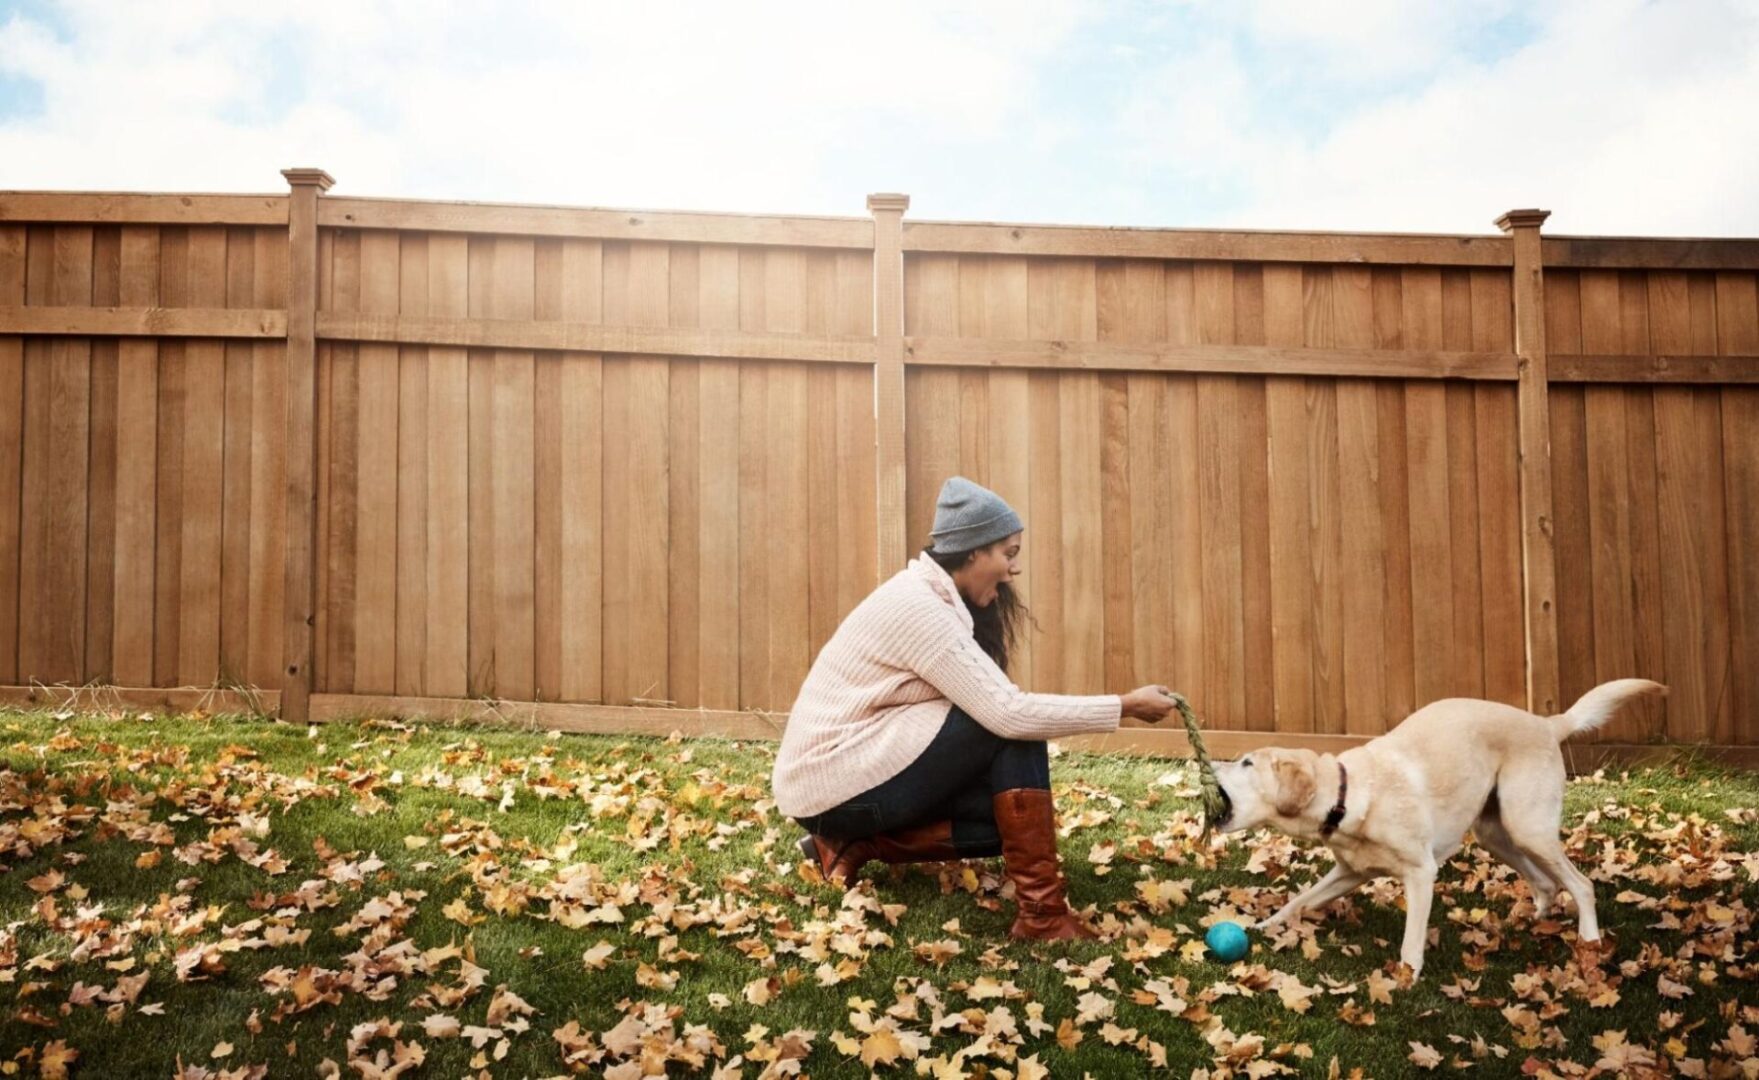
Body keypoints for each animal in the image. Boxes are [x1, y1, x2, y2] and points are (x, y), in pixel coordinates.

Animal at [1210, 685, 1660, 985]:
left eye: (1247, 763)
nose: (1211, 763)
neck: (1346, 793)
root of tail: (1547, 723)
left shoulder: (1421, 873)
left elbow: (1411, 939)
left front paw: (1406, 977)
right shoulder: (1348, 874)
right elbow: (1297, 903)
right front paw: (1264, 925)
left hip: (1528, 827)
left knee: (1581, 884)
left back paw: (1589, 940)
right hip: (1495, 833)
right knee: (1547, 884)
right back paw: (1528, 922)